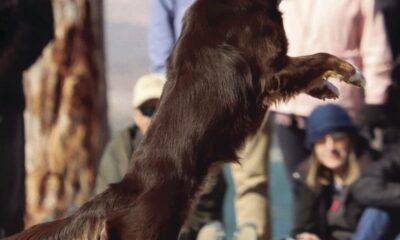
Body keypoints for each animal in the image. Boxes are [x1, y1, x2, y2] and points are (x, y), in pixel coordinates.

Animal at [8, 0, 366, 239]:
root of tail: (126, 188)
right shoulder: (270, 69)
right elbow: (319, 57)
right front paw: (352, 73)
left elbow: (311, 71)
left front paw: (330, 87)